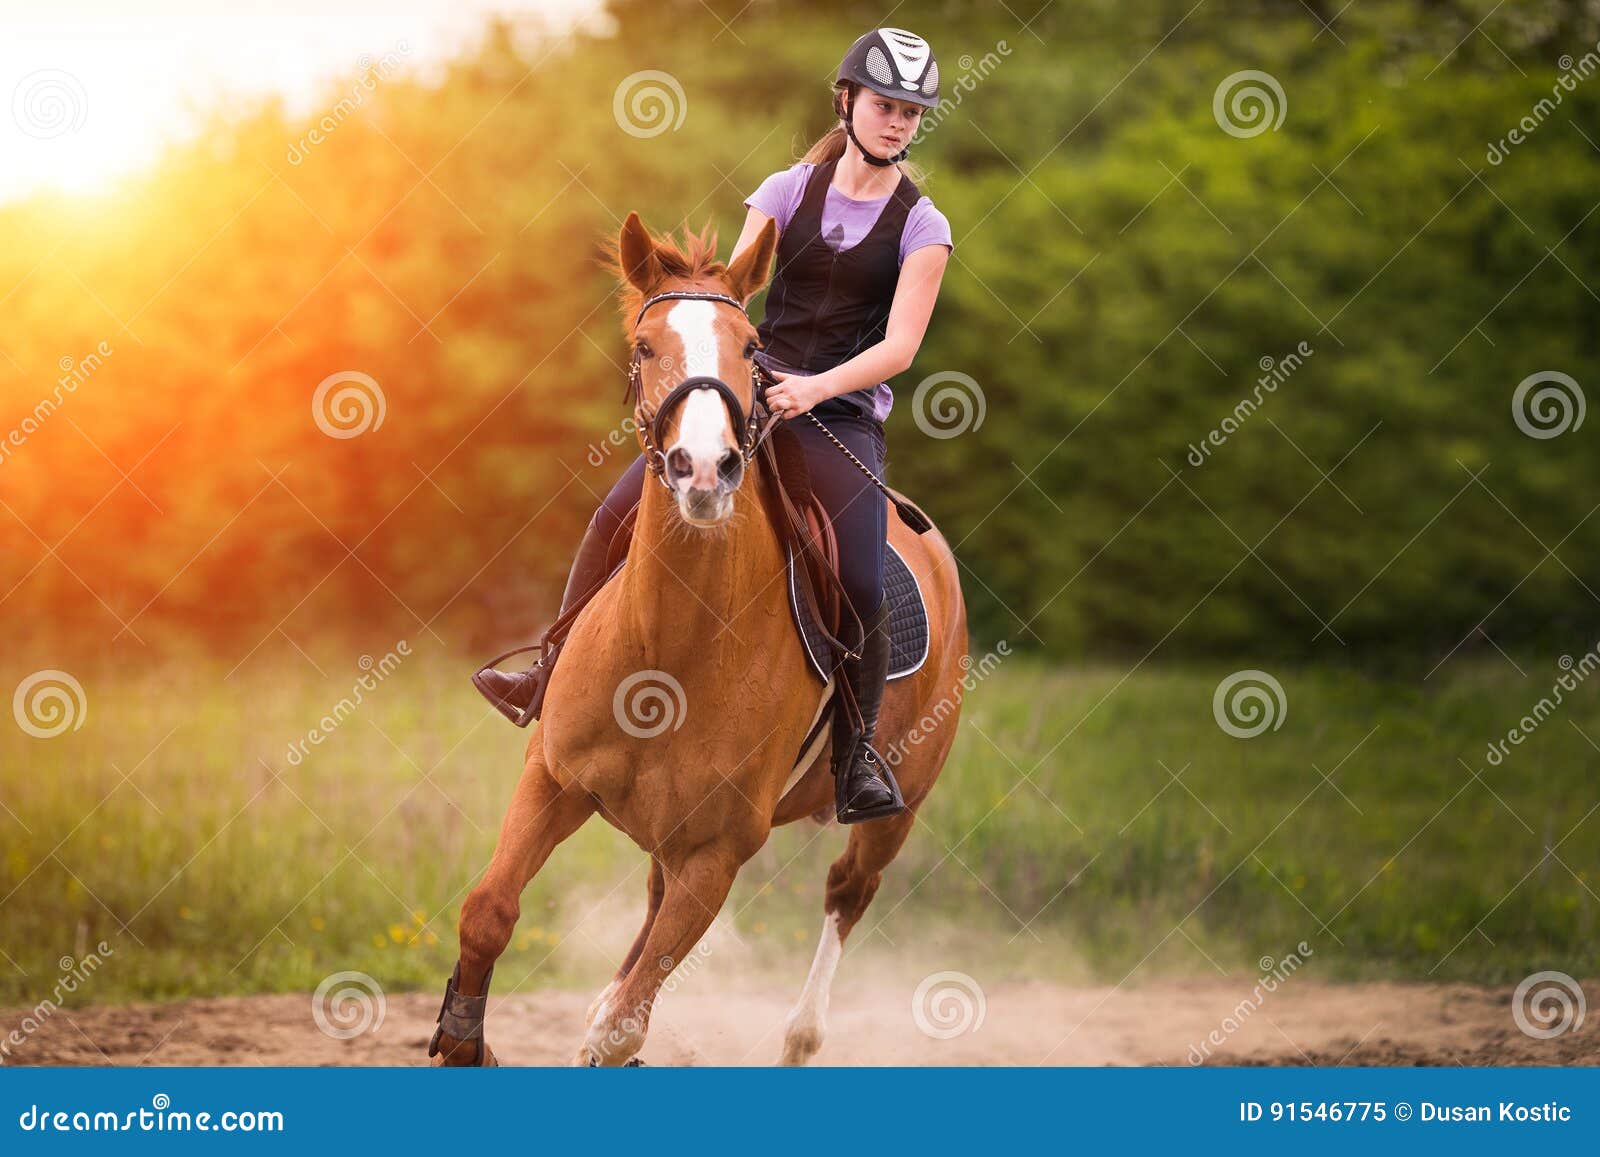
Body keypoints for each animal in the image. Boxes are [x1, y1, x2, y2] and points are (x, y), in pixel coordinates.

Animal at [432, 211, 966, 1068]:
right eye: (646, 345)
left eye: (751, 348)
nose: (706, 469)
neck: (668, 651)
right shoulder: (553, 778)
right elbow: (488, 912)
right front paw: (463, 1036)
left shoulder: (716, 853)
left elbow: (619, 1030)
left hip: (895, 809)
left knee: (848, 891)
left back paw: (801, 1036)